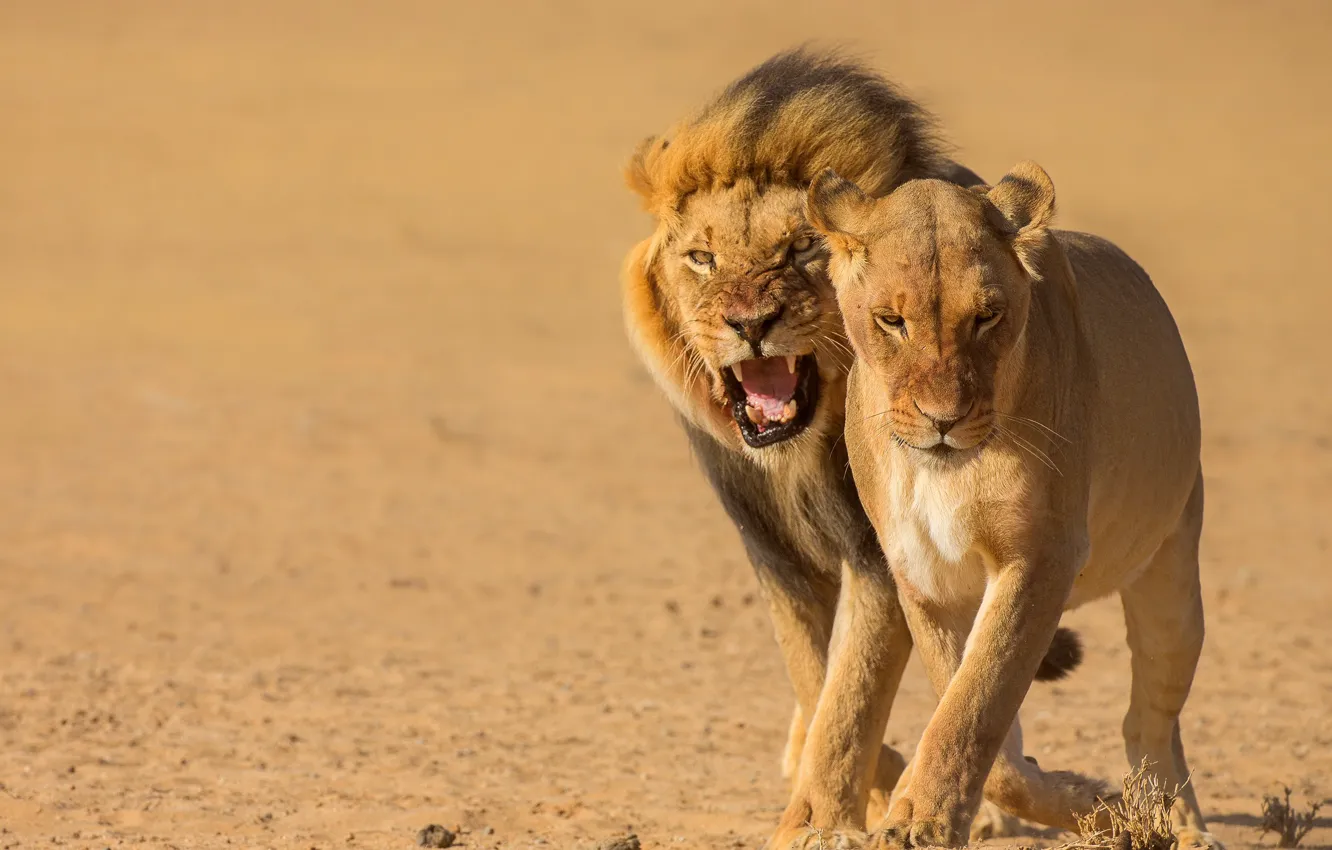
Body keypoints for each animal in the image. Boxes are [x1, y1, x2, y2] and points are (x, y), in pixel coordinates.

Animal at [622, 49, 1080, 848]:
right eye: (703, 258)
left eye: (803, 247)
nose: (750, 323)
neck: (797, 457)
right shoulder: (772, 551)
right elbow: (818, 678)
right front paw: (849, 793)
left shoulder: (881, 552)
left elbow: (853, 692)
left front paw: (821, 822)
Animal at [805, 161, 1221, 849]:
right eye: (891, 320)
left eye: (988, 316)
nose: (944, 420)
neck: (945, 471)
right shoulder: (924, 578)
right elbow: (979, 721)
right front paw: (1072, 800)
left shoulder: (1042, 555)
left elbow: (974, 708)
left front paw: (925, 820)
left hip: (1173, 572)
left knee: (1149, 720)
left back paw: (1174, 821)